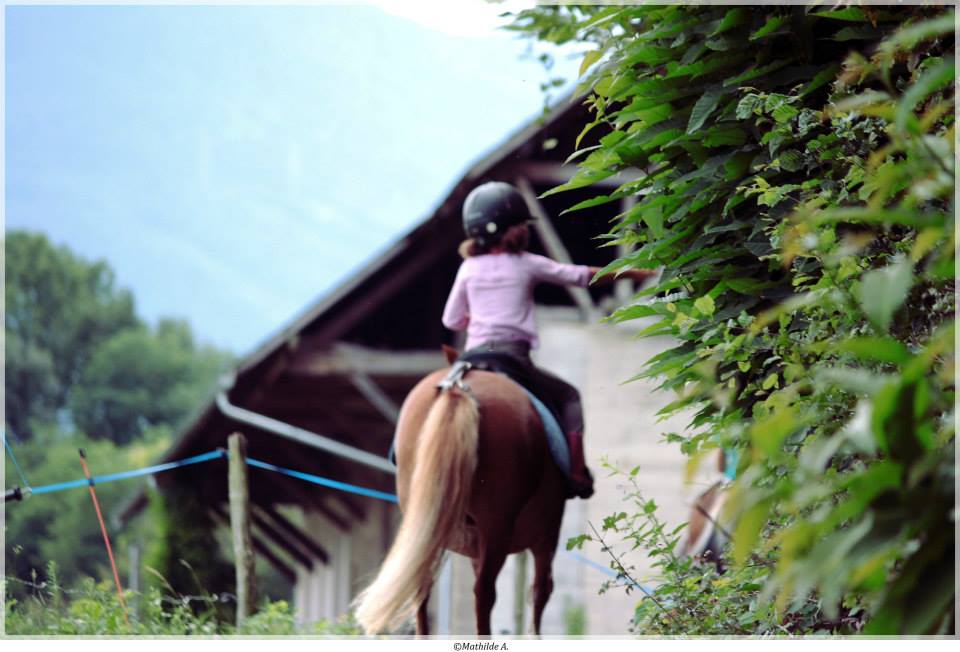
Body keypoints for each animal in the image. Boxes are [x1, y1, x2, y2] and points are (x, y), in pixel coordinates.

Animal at [352, 348, 568, 636]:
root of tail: (457, 385)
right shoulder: (546, 533)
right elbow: (540, 591)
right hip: (498, 526)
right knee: (486, 593)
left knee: (423, 587)